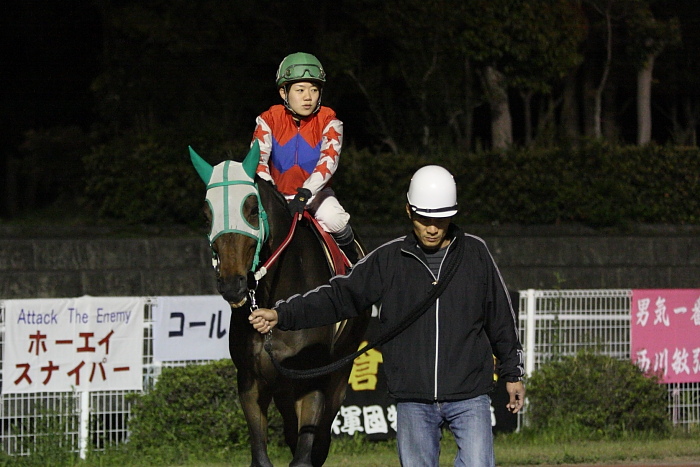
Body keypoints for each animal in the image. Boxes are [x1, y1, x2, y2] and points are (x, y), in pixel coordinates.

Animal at [186, 143, 372, 467]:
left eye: (250, 208)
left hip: (340, 368)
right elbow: (262, 456)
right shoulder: (251, 380)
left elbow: (305, 454)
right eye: (207, 214)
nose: (231, 283)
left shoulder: (312, 380)